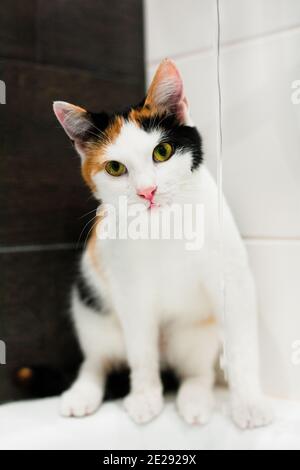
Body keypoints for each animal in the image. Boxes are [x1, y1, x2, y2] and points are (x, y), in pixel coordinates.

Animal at [53, 58, 272, 430]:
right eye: (115, 168)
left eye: (163, 152)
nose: (147, 192)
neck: (165, 227)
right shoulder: (130, 292)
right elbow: (141, 352)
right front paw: (144, 398)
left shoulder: (232, 280)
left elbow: (241, 347)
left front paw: (249, 404)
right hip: (92, 312)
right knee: (98, 360)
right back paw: (82, 394)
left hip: (195, 334)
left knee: (196, 371)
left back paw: (195, 400)